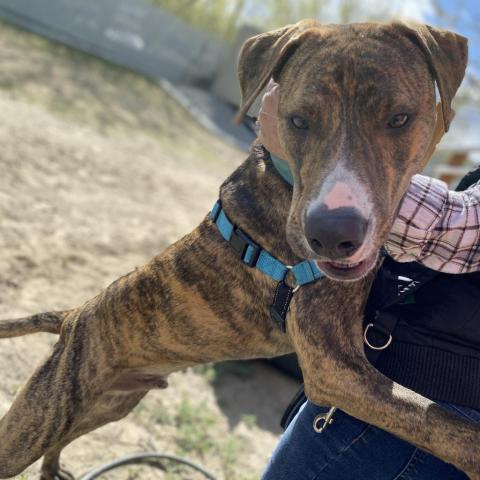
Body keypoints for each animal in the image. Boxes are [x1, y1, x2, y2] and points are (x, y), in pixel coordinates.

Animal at [0, 20, 476, 480]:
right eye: (297, 121)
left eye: (399, 118)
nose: (329, 234)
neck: (284, 180)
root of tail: (74, 316)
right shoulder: (334, 367)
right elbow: (438, 419)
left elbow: (430, 414)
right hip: (41, 419)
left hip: (107, 406)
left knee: (64, 438)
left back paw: (54, 470)